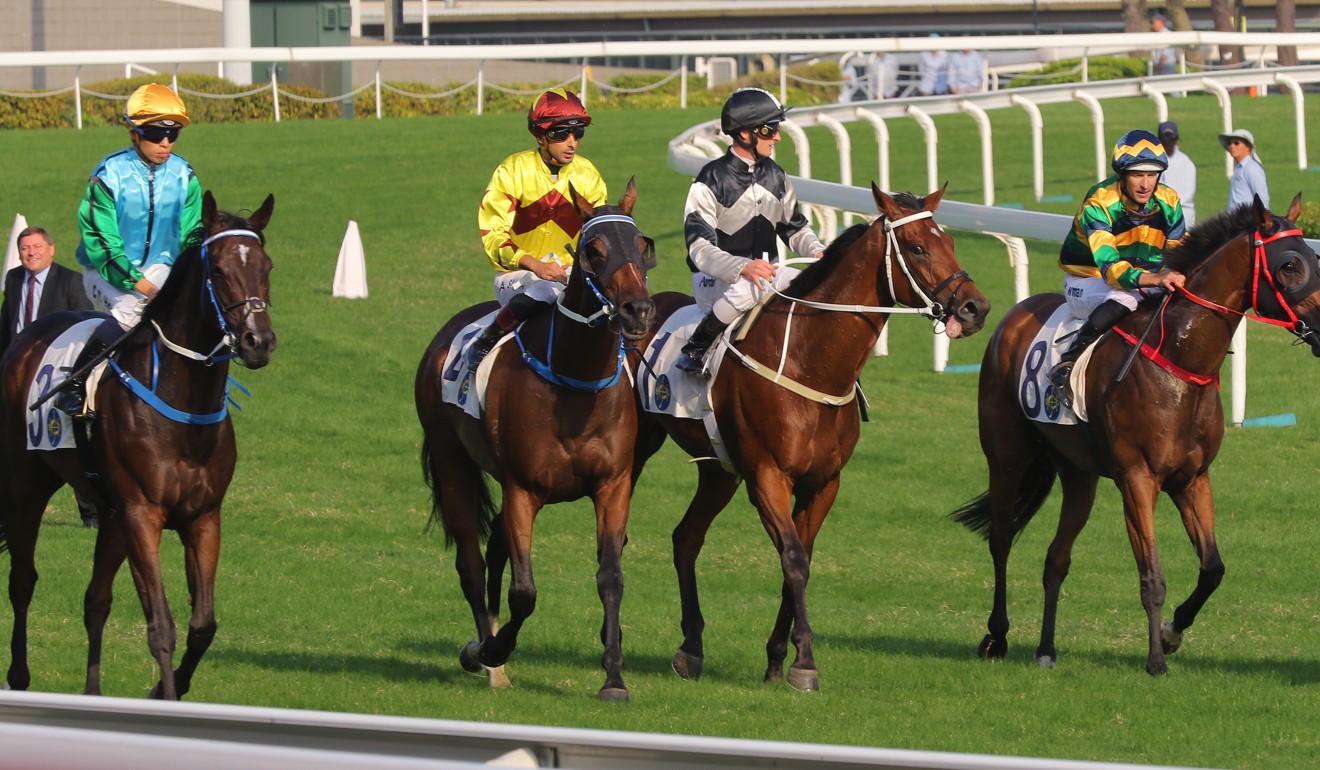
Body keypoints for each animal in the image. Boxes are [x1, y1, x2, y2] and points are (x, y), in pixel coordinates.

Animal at [0, 188, 275, 697]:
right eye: (218, 269)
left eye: (267, 266)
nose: (258, 341)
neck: (184, 410)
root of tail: (24, 340)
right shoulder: (143, 514)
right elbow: (161, 626)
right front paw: (163, 695)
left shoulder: (202, 517)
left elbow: (203, 625)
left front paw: (169, 690)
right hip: (28, 487)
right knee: (22, 580)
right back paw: (19, 675)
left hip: (110, 513)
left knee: (95, 600)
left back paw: (92, 692)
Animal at [414, 180, 657, 702]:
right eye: (593, 250)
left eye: (642, 245)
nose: (638, 311)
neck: (575, 381)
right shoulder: (522, 489)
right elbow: (524, 592)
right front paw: (490, 650)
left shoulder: (613, 485)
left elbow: (610, 577)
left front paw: (613, 678)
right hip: (451, 458)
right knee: (471, 560)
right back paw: (487, 655)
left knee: (494, 548)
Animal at [630, 188, 992, 692]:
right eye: (918, 247)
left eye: (952, 242)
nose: (976, 308)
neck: (810, 361)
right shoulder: (767, 476)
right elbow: (794, 559)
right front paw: (804, 663)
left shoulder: (823, 482)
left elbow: (800, 559)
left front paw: (779, 658)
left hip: (718, 470)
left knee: (686, 538)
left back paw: (691, 649)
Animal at [955, 194, 1320, 676]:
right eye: (1290, 265)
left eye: (1315, 258)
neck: (1180, 362)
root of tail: (1012, 317)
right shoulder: (1138, 480)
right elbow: (1152, 577)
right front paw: (1155, 660)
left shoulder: (1192, 479)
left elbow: (1213, 569)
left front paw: (1171, 634)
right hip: (1006, 457)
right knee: (1000, 538)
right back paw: (996, 635)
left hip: (1080, 475)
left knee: (1056, 558)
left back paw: (1046, 649)